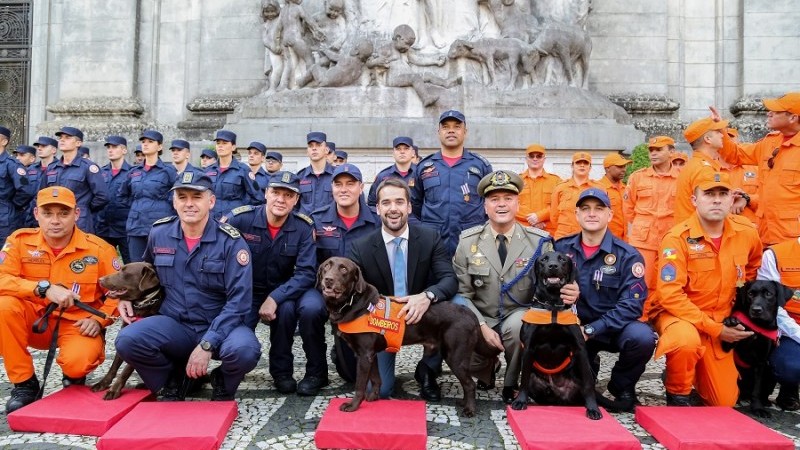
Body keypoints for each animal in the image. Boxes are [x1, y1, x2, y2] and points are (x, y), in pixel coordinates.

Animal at [510, 251, 604, 420]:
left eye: (562, 259)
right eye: (543, 260)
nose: (553, 266)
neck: (553, 305)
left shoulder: (580, 350)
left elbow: (588, 383)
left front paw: (593, 409)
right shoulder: (528, 348)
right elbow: (524, 378)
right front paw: (520, 401)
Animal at [720, 280, 792, 416]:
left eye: (768, 294)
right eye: (750, 294)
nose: (756, 310)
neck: (757, 326)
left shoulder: (761, 362)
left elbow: (757, 389)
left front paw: (758, 408)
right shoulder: (728, 344)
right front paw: (731, 320)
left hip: (770, 372)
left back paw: (765, 402)